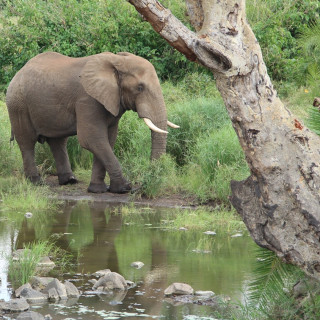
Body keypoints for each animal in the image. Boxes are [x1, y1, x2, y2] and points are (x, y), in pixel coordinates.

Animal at [5, 51, 178, 194]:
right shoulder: (87, 99)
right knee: (27, 142)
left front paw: (98, 190)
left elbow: (107, 140)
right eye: (140, 88)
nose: (141, 187)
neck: (117, 61)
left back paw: (69, 181)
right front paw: (124, 188)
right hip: (18, 104)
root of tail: (17, 73)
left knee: (58, 142)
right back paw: (36, 182)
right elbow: (92, 139)